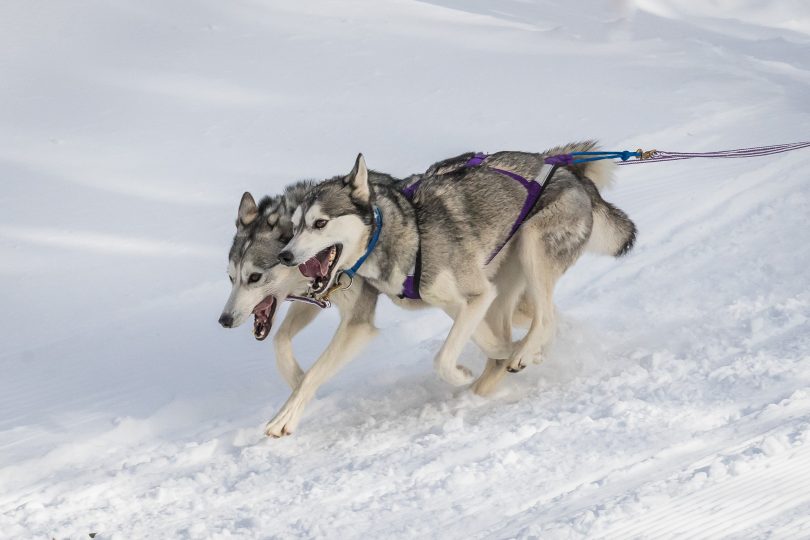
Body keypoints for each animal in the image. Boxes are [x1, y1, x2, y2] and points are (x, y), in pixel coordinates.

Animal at [218, 142, 636, 434]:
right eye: (231, 277)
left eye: (254, 277)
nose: (224, 320)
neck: (401, 234)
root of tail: (567, 170)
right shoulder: (453, 299)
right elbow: (283, 345)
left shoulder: (365, 320)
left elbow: (443, 357)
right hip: (503, 286)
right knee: (536, 317)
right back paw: (505, 368)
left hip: (531, 248)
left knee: (545, 315)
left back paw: (519, 356)